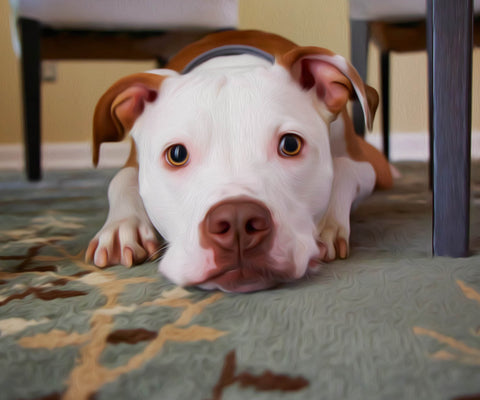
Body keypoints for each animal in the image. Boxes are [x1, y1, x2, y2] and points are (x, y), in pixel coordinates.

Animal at [86, 29, 394, 292]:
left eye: (290, 145)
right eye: (177, 154)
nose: (237, 220)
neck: (232, 66)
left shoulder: (366, 166)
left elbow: (344, 167)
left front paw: (329, 223)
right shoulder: (133, 163)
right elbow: (121, 178)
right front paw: (122, 227)